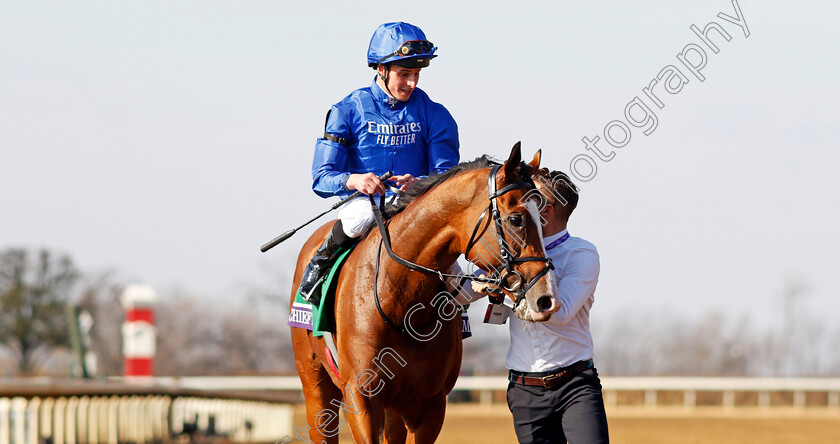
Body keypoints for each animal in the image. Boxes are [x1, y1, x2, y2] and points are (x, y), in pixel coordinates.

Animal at [288, 144, 556, 442]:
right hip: (315, 383)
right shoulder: (360, 396)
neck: (399, 302)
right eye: (516, 219)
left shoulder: (429, 404)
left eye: (543, 218)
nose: (545, 298)